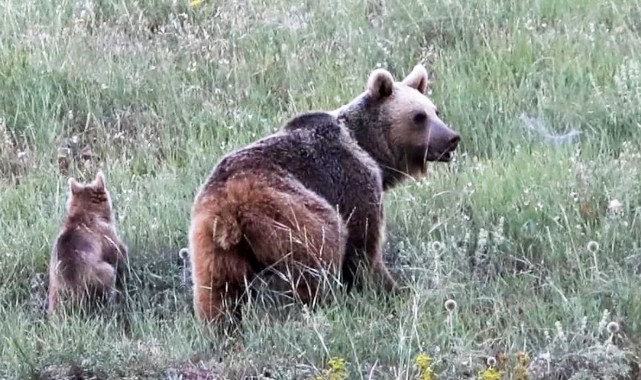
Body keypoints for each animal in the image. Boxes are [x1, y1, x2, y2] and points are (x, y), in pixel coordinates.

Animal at [186, 62, 460, 326]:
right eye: (419, 116)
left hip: (211, 243)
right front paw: (391, 288)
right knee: (321, 253)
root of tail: (230, 204)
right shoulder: (351, 180)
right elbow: (364, 245)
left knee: (218, 290)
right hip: (288, 210)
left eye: (435, 111)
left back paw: (222, 326)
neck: (368, 147)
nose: (452, 138)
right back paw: (326, 302)